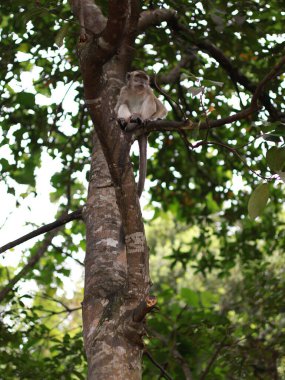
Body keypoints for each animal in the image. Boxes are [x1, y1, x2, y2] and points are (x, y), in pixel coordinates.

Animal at [113, 70, 166, 199]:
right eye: (138, 76)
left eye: (144, 78)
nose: (142, 81)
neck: (136, 91)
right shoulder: (123, 91)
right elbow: (117, 108)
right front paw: (121, 120)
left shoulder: (149, 90)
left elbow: (162, 109)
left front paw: (150, 119)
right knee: (123, 105)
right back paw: (127, 122)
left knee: (150, 100)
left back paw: (139, 120)